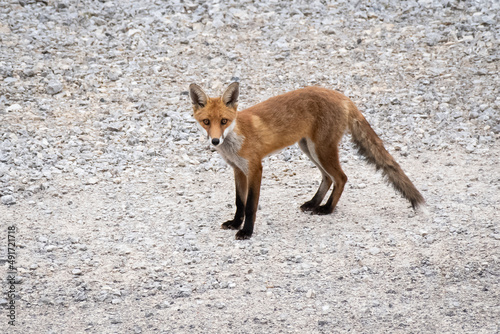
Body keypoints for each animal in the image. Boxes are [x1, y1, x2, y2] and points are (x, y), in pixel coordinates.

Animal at [189, 83, 424, 240]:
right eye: (206, 121)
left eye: (224, 121)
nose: (215, 140)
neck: (235, 140)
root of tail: (342, 96)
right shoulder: (238, 170)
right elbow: (240, 202)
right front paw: (235, 223)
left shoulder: (255, 169)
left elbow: (250, 206)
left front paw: (247, 231)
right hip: (309, 149)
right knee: (327, 178)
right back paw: (313, 203)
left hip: (321, 150)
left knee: (341, 178)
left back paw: (327, 209)